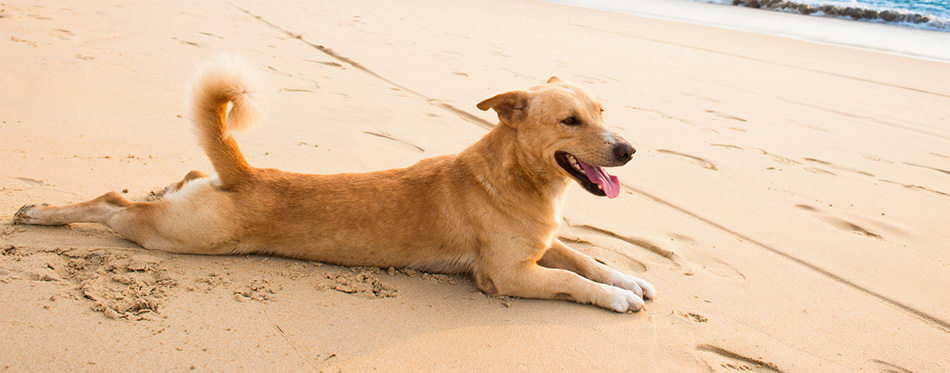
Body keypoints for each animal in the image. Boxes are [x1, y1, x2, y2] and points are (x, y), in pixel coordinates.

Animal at [13, 56, 656, 310]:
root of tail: (243, 172)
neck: (515, 177)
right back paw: (40, 213)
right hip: (178, 236)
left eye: (601, 111)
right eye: (570, 121)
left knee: (158, 187)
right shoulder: (511, 276)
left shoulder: (545, 246)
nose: (628, 150)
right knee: (112, 203)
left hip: (184, 208)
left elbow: (589, 261)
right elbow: (572, 282)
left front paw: (629, 279)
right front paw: (617, 297)